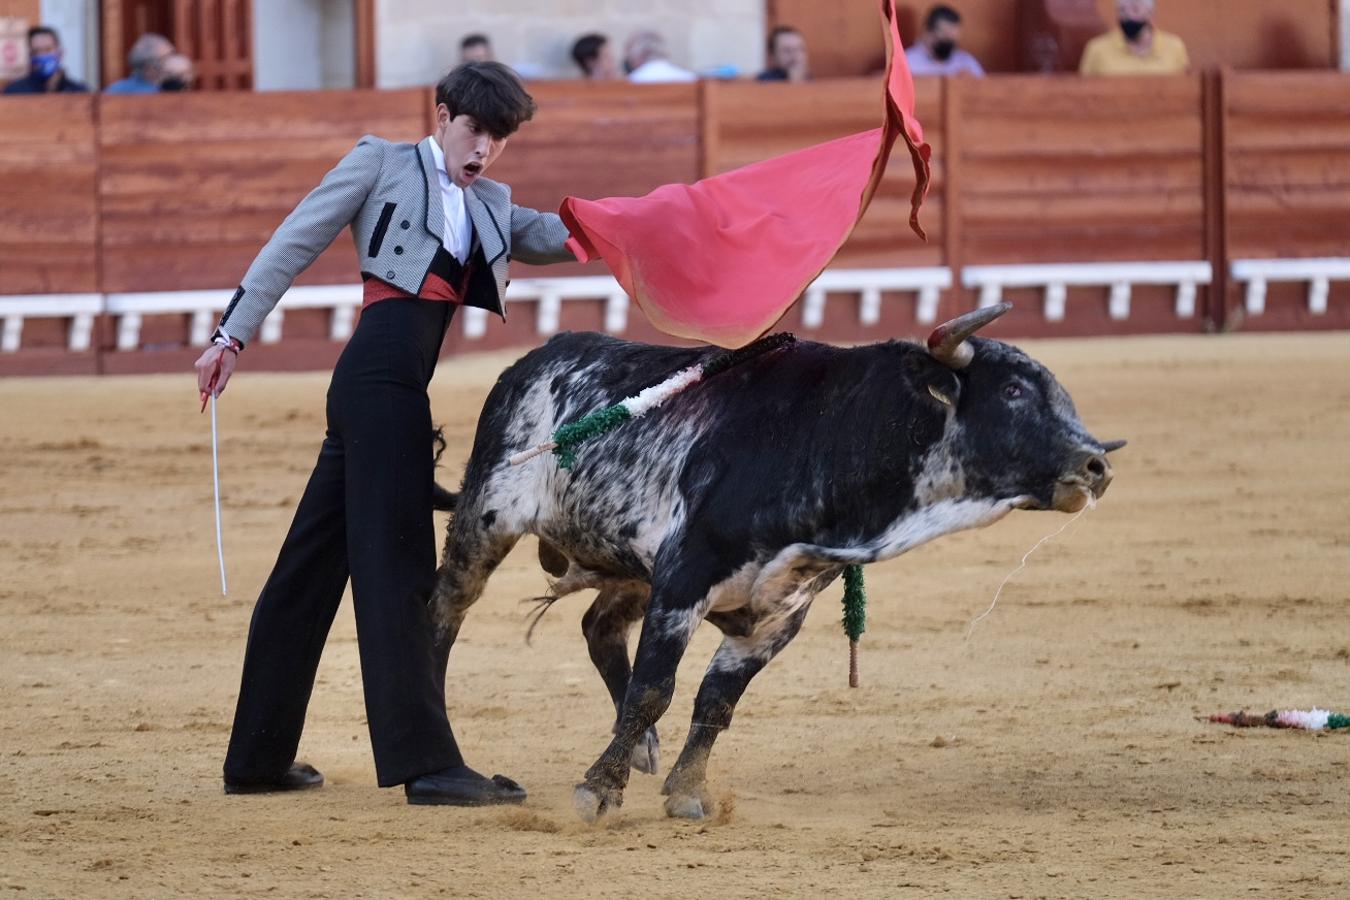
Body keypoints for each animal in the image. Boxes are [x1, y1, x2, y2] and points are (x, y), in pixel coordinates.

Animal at [429, 304, 1117, 825]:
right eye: (1013, 391)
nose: (1096, 466)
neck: (839, 434)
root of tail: (538, 356)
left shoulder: (778, 614)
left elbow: (716, 701)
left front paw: (687, 792)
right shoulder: (684, 579)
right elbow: (656, 689)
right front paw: (599, 791)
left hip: (629, 564)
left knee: (598, 628)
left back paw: (643, 748)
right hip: (486, 517)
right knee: (444, 613)